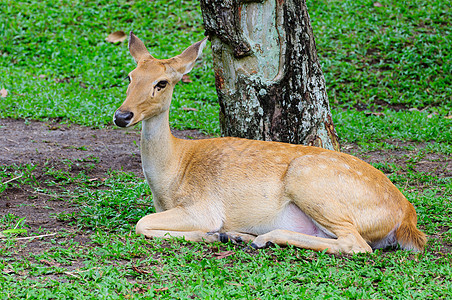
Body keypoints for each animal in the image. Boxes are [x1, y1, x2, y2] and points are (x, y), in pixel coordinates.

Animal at [114, 32, 428, 253]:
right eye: (130, 77)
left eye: (162, 83)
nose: (122, 115)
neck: (172, 174)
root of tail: (406, 217)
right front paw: (224, 235)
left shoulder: (202, 206)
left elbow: (141, 224)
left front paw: (216, 234)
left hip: (310, 181)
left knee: (356, 244)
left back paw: (261, 238)